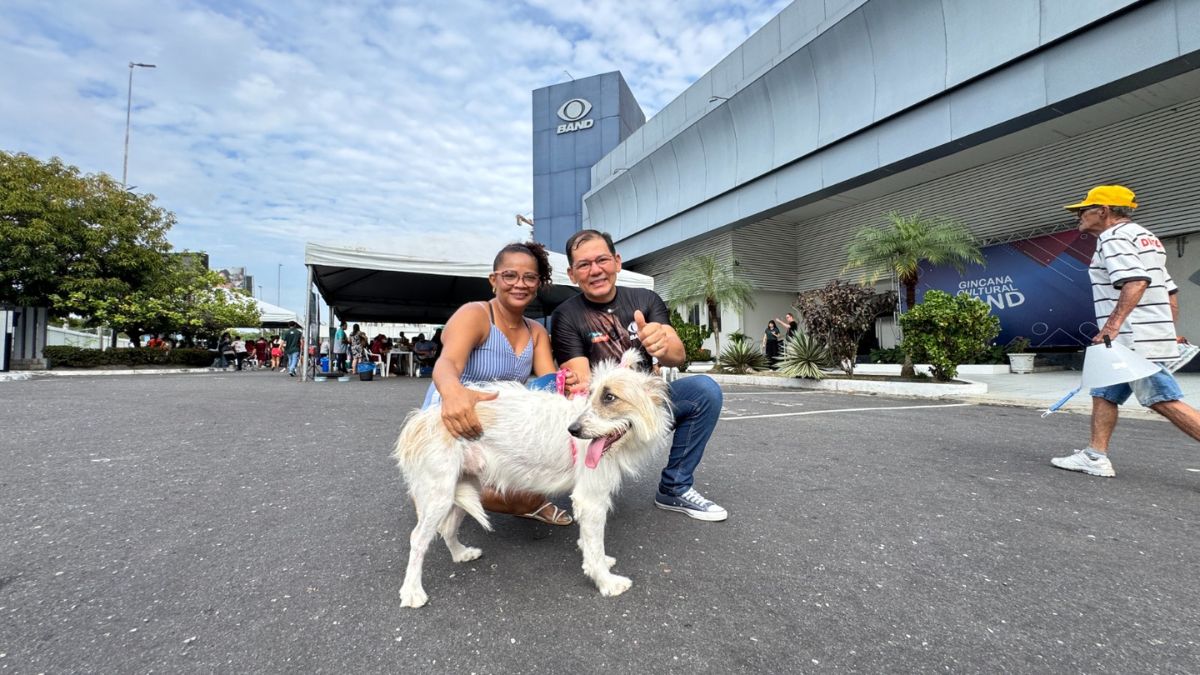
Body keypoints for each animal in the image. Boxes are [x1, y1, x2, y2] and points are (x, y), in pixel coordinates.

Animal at [391, 349, 672, 608]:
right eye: (593, 395)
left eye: (610, 397)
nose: (573, 430)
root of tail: (420, 419)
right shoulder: (591, 500)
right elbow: (595, 545)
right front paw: (605, 581)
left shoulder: (590, 501)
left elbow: (590, 542)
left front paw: (600, 562)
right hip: (438, 495)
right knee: (418, 539)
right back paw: (412, 591)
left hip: (464, 485)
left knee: (448, 528)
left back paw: (461, 554)